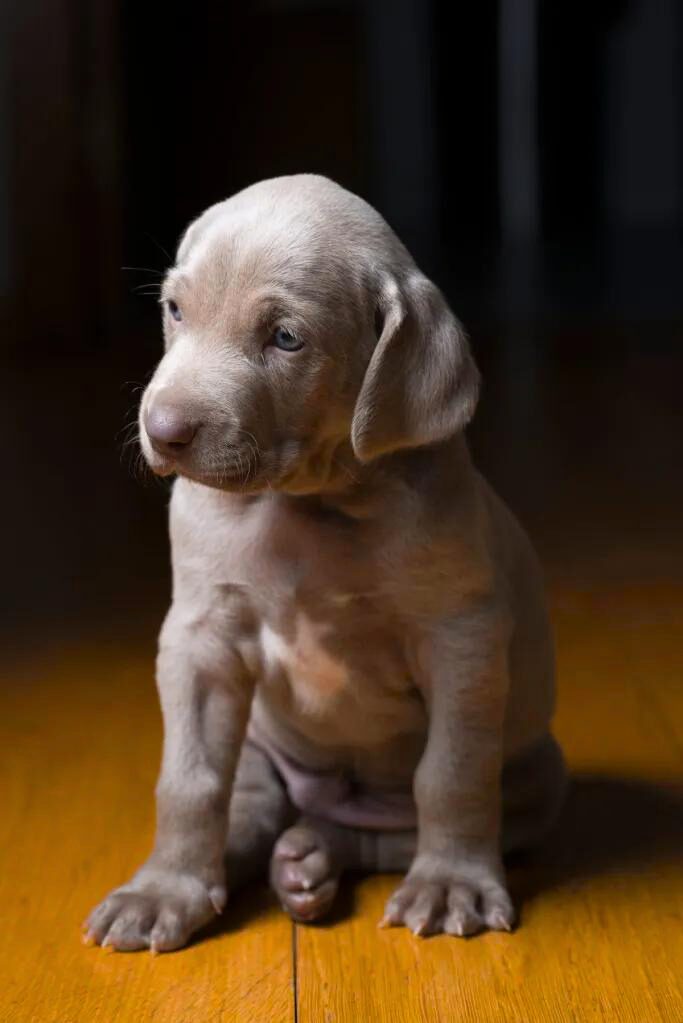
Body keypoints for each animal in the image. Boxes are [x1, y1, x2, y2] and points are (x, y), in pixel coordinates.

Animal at [86, 173, 564, 949]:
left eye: (286, 338)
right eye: (175, 310)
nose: (163, 430)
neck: (306, 502)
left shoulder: (460, 639)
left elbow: (452, 772)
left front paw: (452, 883)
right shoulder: (199, 640)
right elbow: (190, 779)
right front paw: (163, 891)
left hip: (537, 776)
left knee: (381, 833)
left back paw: (310, 862)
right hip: (259, 742)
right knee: (250, 804)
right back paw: (263, 866)